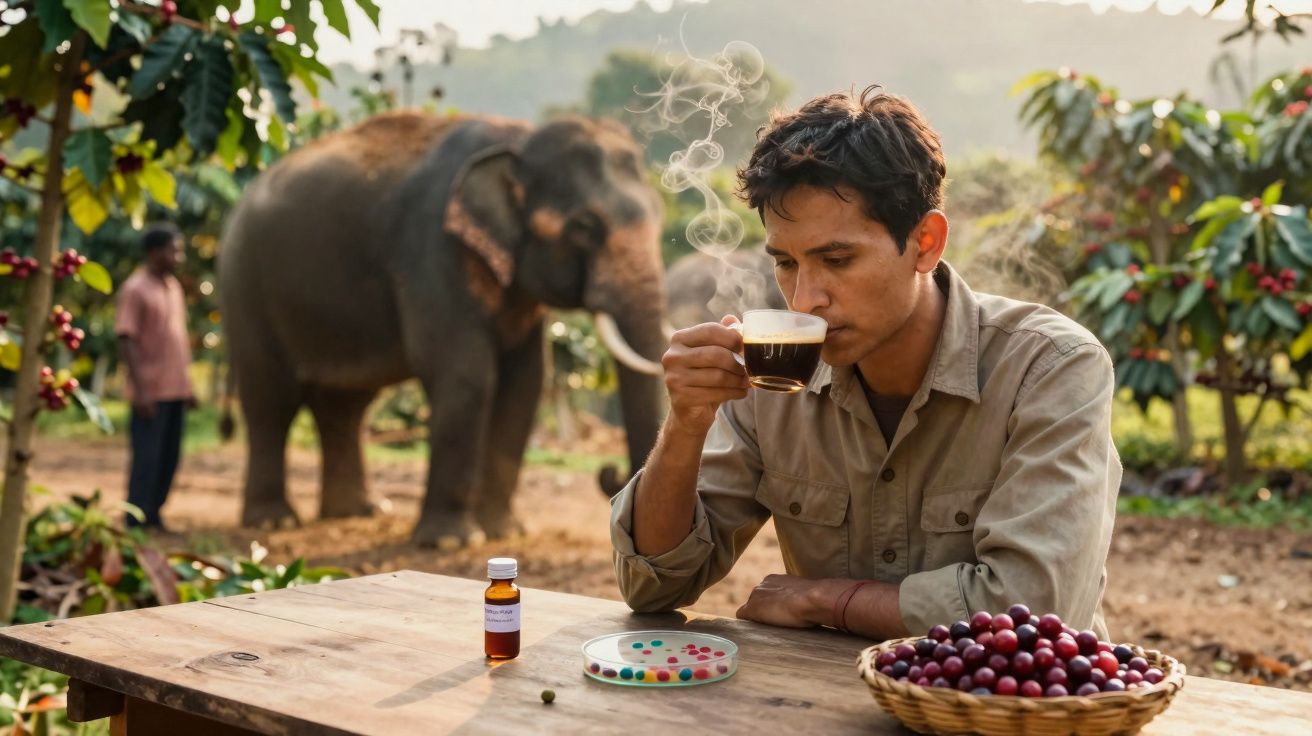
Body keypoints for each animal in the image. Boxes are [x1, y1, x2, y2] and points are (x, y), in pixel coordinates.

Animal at [219, 112, 669, 547]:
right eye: (584, 227)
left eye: (660, 217)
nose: (610, 472)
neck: (517, 140)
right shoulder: (433, 251)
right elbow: (466, 375)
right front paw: (451, 541)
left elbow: (525, 382)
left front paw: (505, 532)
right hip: (245, 286)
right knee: (269, 398)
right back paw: (274, 522)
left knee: (345, 404)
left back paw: (357, 512)